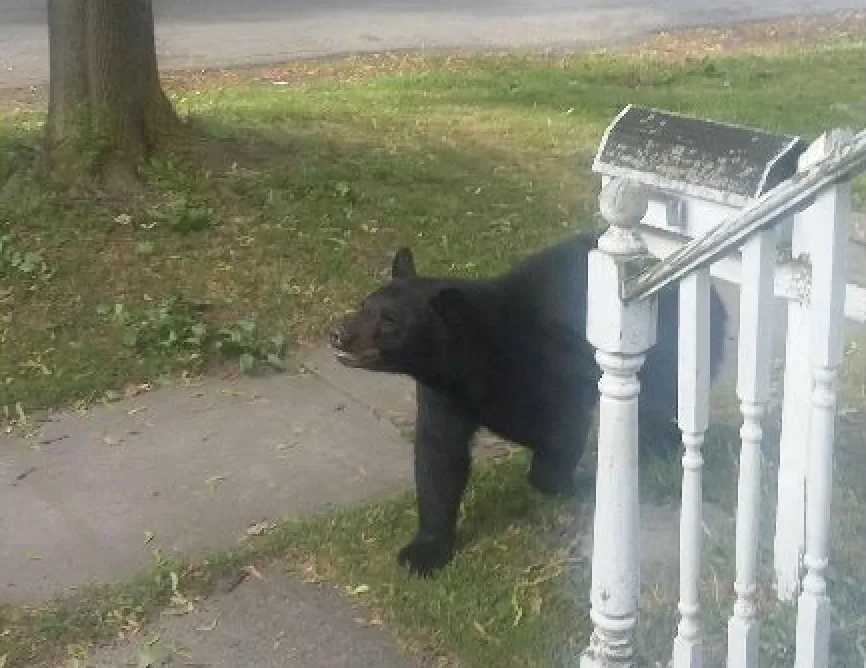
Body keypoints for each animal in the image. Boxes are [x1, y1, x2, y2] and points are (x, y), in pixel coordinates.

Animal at [330, 229, 728, 576]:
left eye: (389, 320)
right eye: (363, 304)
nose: (338, 333)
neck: (478, 357)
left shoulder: (555, 367)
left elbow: (561, 429)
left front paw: (573, 484)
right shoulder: (444, 394)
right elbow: (439, 457)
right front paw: (424, 551)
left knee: (661, 408)